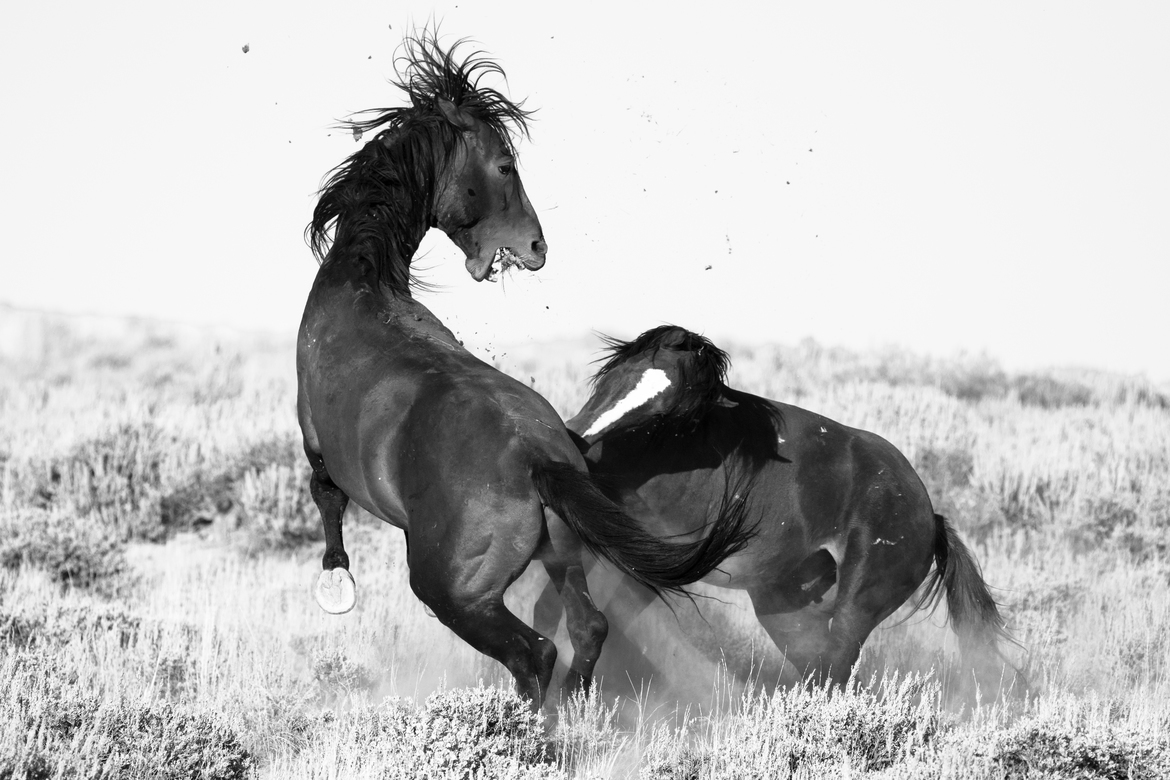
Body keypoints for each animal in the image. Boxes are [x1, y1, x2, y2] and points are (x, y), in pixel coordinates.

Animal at [296, 34, 755, 707]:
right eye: (505, 167)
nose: (536, 247)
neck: (364, 282)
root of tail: (538, 457)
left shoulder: (311, 434)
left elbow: (325, 495)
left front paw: (336, 586)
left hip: (455, 592)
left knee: (533, 652)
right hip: (561, 557)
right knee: (588, 629)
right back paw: (577, 711)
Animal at [534, 325, 1016, 688]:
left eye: (664, 416)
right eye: (614, 376)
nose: (574, 437)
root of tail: (927, 513)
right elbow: (551, 607)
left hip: (856, 607)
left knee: (836, 667)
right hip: (785, 609)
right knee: (822, 671)